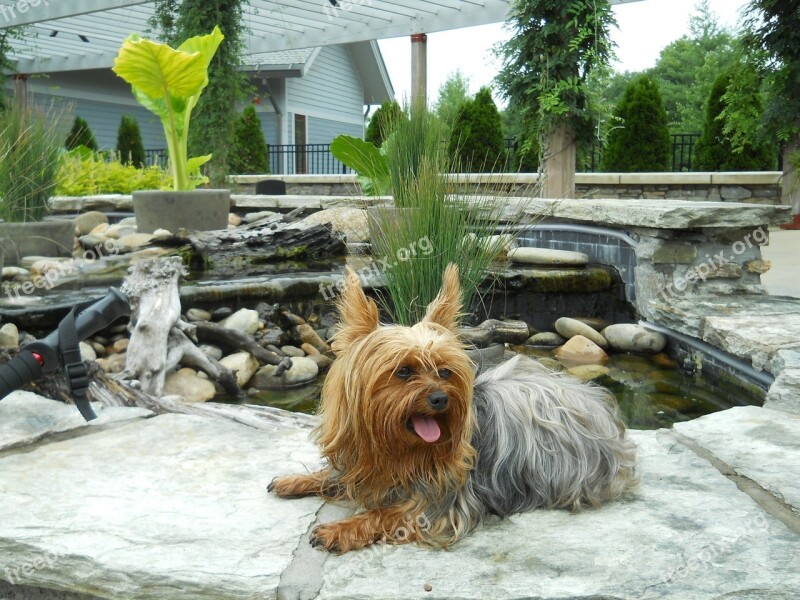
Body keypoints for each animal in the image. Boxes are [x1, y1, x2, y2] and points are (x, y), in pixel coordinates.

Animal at [268, 264, 636, 556]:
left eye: (445, 372)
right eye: (403, 371)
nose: (440, 399)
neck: (397, 449)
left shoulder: (441, 505)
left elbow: (387, 514)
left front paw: (340, 529)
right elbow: (334, 475)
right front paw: (296, 480)